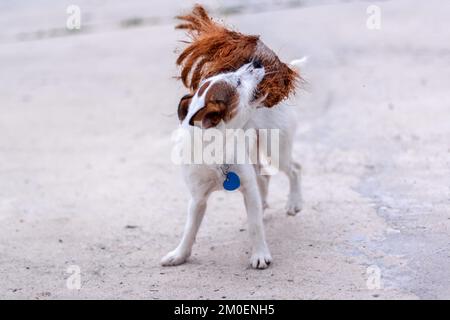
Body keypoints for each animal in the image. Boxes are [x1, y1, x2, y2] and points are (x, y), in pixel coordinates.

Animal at [162, 59, 302, 268]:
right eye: (237, 82)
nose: (256, 62)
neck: (215, 150)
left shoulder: (248, 188)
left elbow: (254, 226)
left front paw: (260, 253)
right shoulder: (197, 199)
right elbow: (189, 229)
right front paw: (180, 254)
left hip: (276, 151)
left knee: (295, 169)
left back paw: (294, 202)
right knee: (264, 178)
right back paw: (264, 205)